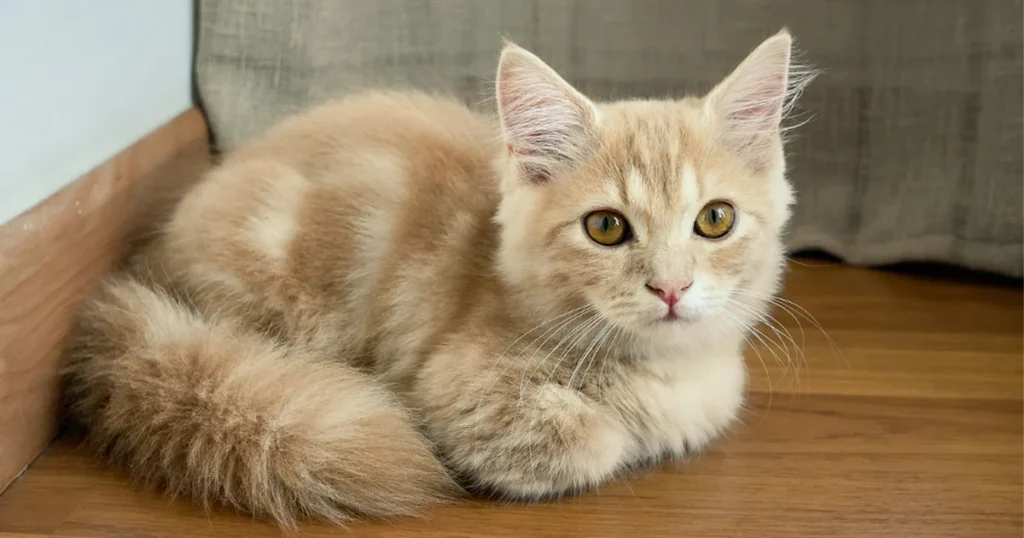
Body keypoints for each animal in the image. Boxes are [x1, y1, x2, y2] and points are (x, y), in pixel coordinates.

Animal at [61, 30, 815, 524]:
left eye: (714, 220)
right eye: (606, 228)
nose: (671, 288)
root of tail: (148, 272)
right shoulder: (461, 384)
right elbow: (591, 441)